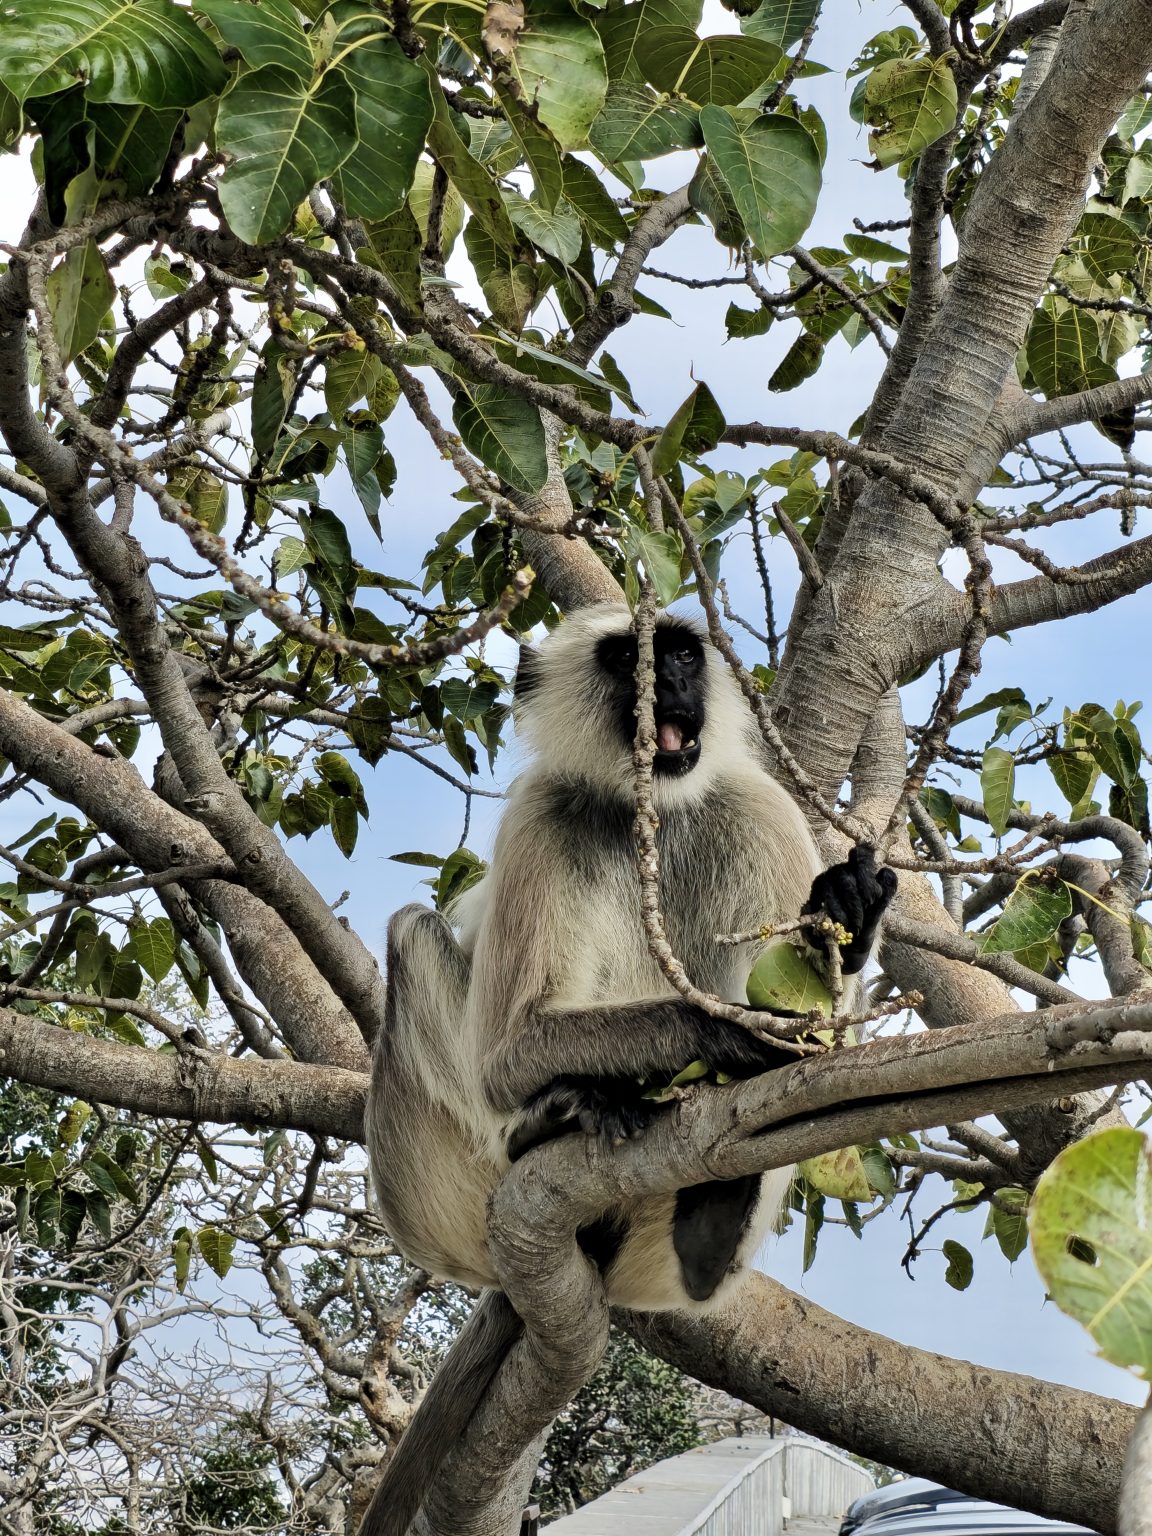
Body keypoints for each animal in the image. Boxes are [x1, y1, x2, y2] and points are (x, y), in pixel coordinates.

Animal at [360, 604, 896, 1536]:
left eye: (679, 652)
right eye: (624, 659)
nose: (666, 679)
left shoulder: (757, 805)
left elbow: (831, 1040)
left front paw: (846, 912)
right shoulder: (541, 813)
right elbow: (508, 1051)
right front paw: (728, 1033)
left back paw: (712, 1223)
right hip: (446, 1202)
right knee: (413, 932)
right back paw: (561, 1118)